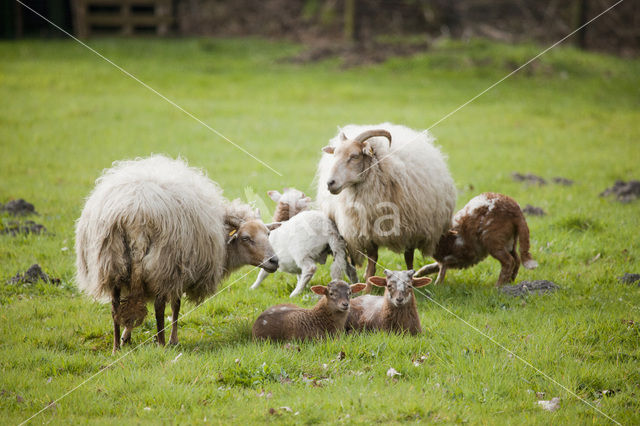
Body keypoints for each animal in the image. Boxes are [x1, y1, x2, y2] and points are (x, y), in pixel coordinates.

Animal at [74, 154, 278, 352]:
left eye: (268, 234)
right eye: (245, 238)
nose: (274, 261)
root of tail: (134, 213)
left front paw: (126, 337)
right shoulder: (181, 270)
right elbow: (176, 306)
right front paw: (173, 340)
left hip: (112, 263)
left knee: (115, 306)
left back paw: (116, 347)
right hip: (163, 262)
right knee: (159, 307)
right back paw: (162, 344)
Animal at [316, 121, 456, 292]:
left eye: (354, 156)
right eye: (334, 155)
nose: (330, 183)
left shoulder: (410, 230)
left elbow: (408, 258)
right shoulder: (367, 231)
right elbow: (372, 260)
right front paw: (367, 287)